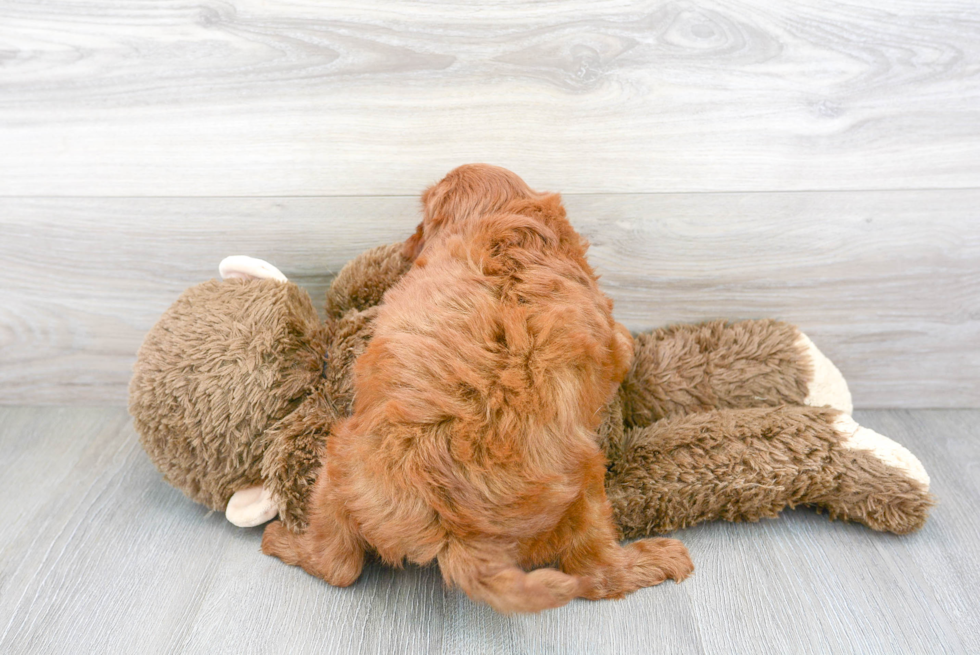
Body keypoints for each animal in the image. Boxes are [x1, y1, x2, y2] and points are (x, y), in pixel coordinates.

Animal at [264, 165, 692, 616]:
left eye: (422, 222)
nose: (408, 245)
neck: (501, 227)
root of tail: (455, 531)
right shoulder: (608, 334)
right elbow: (623, 343)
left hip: (341, 468)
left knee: (340, 565)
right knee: (597, 574)